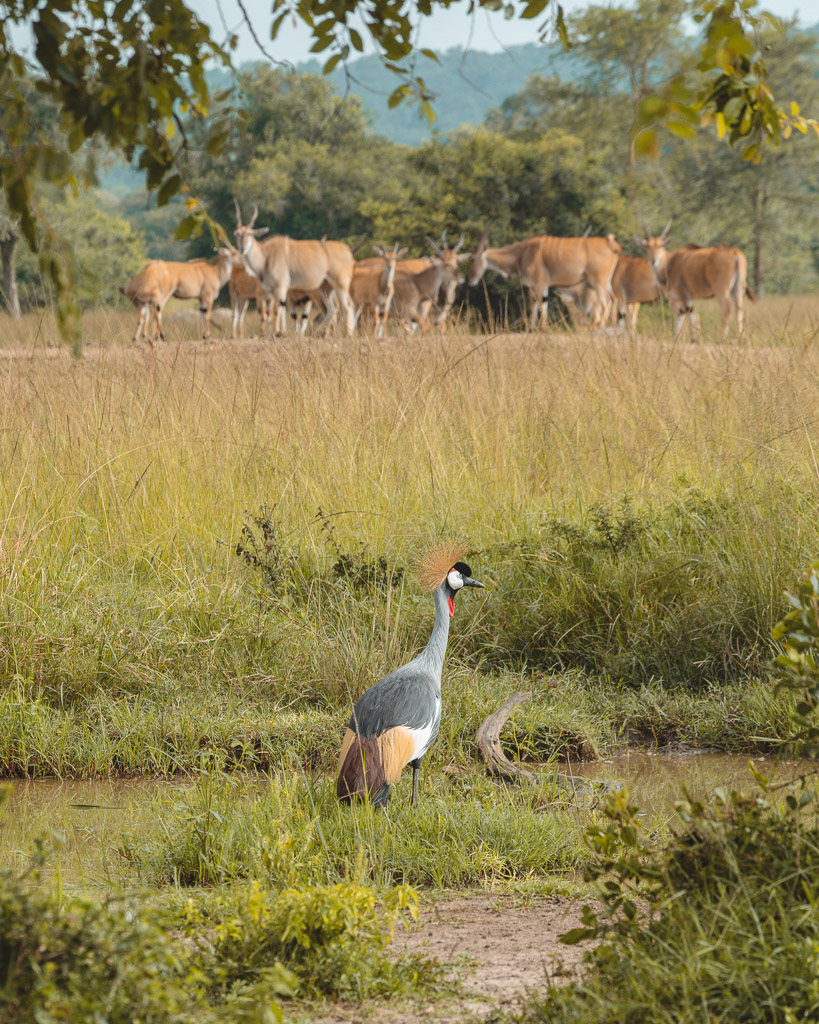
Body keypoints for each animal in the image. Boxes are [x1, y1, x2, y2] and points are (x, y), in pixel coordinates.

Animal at [233, 202, 354, 335]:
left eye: (250, 234)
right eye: (237, 234)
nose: (242, 248)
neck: (266, 255)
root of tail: (347, 251)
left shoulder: (281, 287)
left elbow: (278, 310)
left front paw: (278, 333)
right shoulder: (273, 292)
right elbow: (274, 313)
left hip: (340, 285)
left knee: (347, 306)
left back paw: (347, 334)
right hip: (327, 288)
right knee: (333, 308)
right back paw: (326, 334)